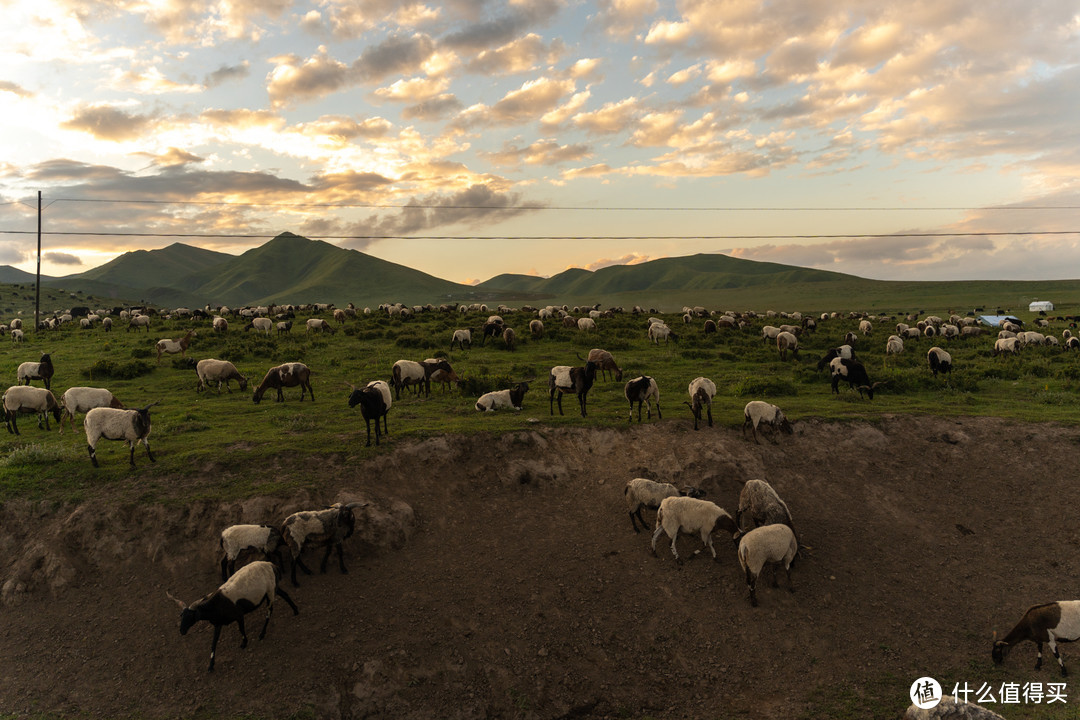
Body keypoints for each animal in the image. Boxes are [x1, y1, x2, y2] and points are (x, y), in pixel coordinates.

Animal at [166, 561, 298, 673]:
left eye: (190, 616)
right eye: (181, 616)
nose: (182, 631)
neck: (216, 604)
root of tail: (271, 565)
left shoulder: (239, 616)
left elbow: (241, 629)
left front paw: (244, 643)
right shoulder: (218, 624)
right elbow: (214, 643)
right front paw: (210, 666)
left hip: (270, 591)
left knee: (269, 611)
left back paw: (262, 634)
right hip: (275, 588)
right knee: (285, 595)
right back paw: (295, 610)